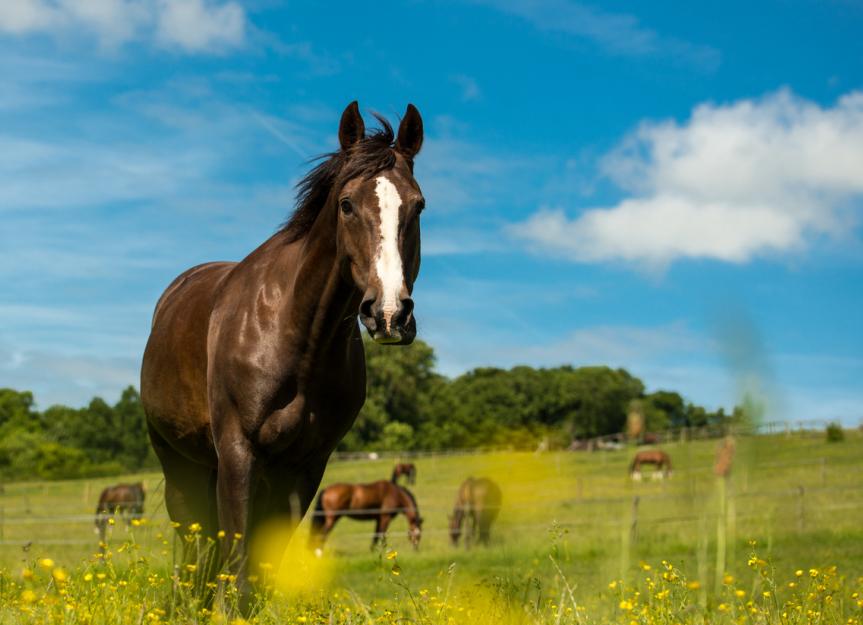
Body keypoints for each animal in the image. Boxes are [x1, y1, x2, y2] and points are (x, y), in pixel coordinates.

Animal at [140, 98, 426, 596]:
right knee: (194, 562)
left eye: (418, 206)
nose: (390, 313)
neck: (296, 336)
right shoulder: (239, 455)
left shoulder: (304, 468)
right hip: (180, 467)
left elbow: (261, 572)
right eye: (347, 205)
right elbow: (236, 571)